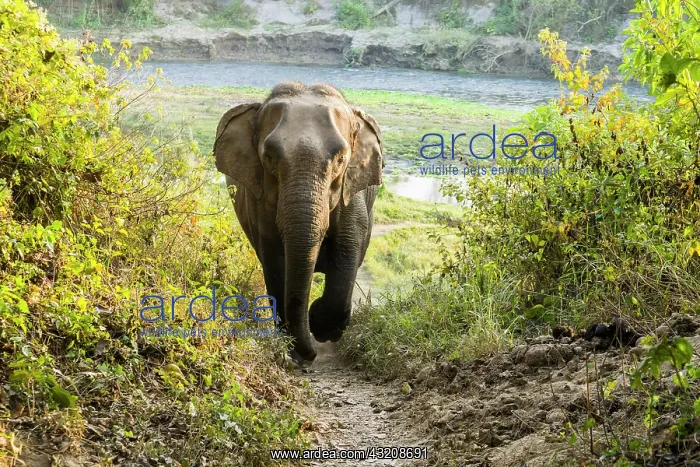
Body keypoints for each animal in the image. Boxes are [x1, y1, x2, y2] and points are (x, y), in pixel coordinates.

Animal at [213, 81, 383, 363]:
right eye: (269, 157)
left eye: (341, 159)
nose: (312, 353)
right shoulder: (259, 202)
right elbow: (275, 262)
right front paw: (293, 347)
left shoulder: (352, 193)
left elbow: (349, 247)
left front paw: (322, 326)